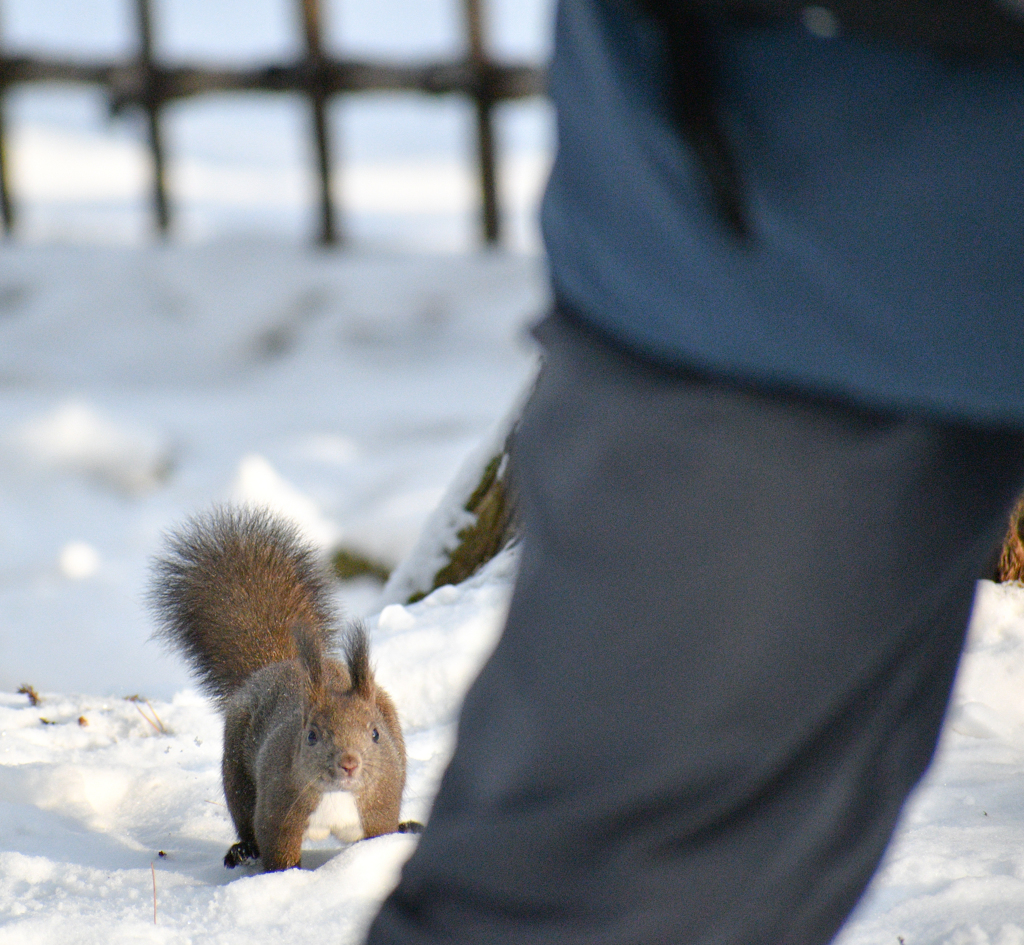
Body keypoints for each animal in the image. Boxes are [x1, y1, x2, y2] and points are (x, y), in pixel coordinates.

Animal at [148, 509, 411, 872]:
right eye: (311, 735)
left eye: (375, 734)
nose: (349, 763)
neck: (336, 796)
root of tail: (275, 666)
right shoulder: (278, 813)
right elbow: (278, 853)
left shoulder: (379, 809)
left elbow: (378, 836)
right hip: (236, 774)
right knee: (244, 817)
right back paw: (242, 850)